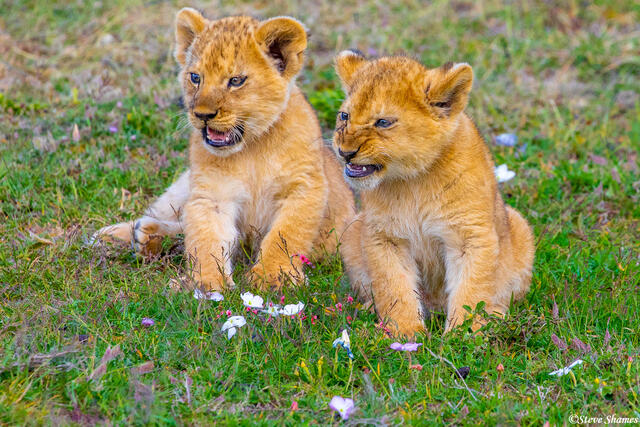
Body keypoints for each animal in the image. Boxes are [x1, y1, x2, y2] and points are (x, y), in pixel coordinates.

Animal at [95, 9, 355, 291]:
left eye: (236, 81)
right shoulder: (212, 194)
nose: (202, 115)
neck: (253, 148)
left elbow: (286, 235)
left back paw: (146, 237)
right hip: (183, 186)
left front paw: (273, 278)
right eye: (195, 77)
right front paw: (206, 285)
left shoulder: (305, 187)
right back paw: (120, 235)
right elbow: (205, 239)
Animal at [335, 51, 535, 336]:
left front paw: (464, 334)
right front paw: (405, 333)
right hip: (353, 229)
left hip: (519, 226)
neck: (413, 181)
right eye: (344, 116)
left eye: (383, 122)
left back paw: (495, 316)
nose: (345, 152)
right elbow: (394, 288)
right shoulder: (384, 237)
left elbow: (472, 290)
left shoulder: (470, 235)